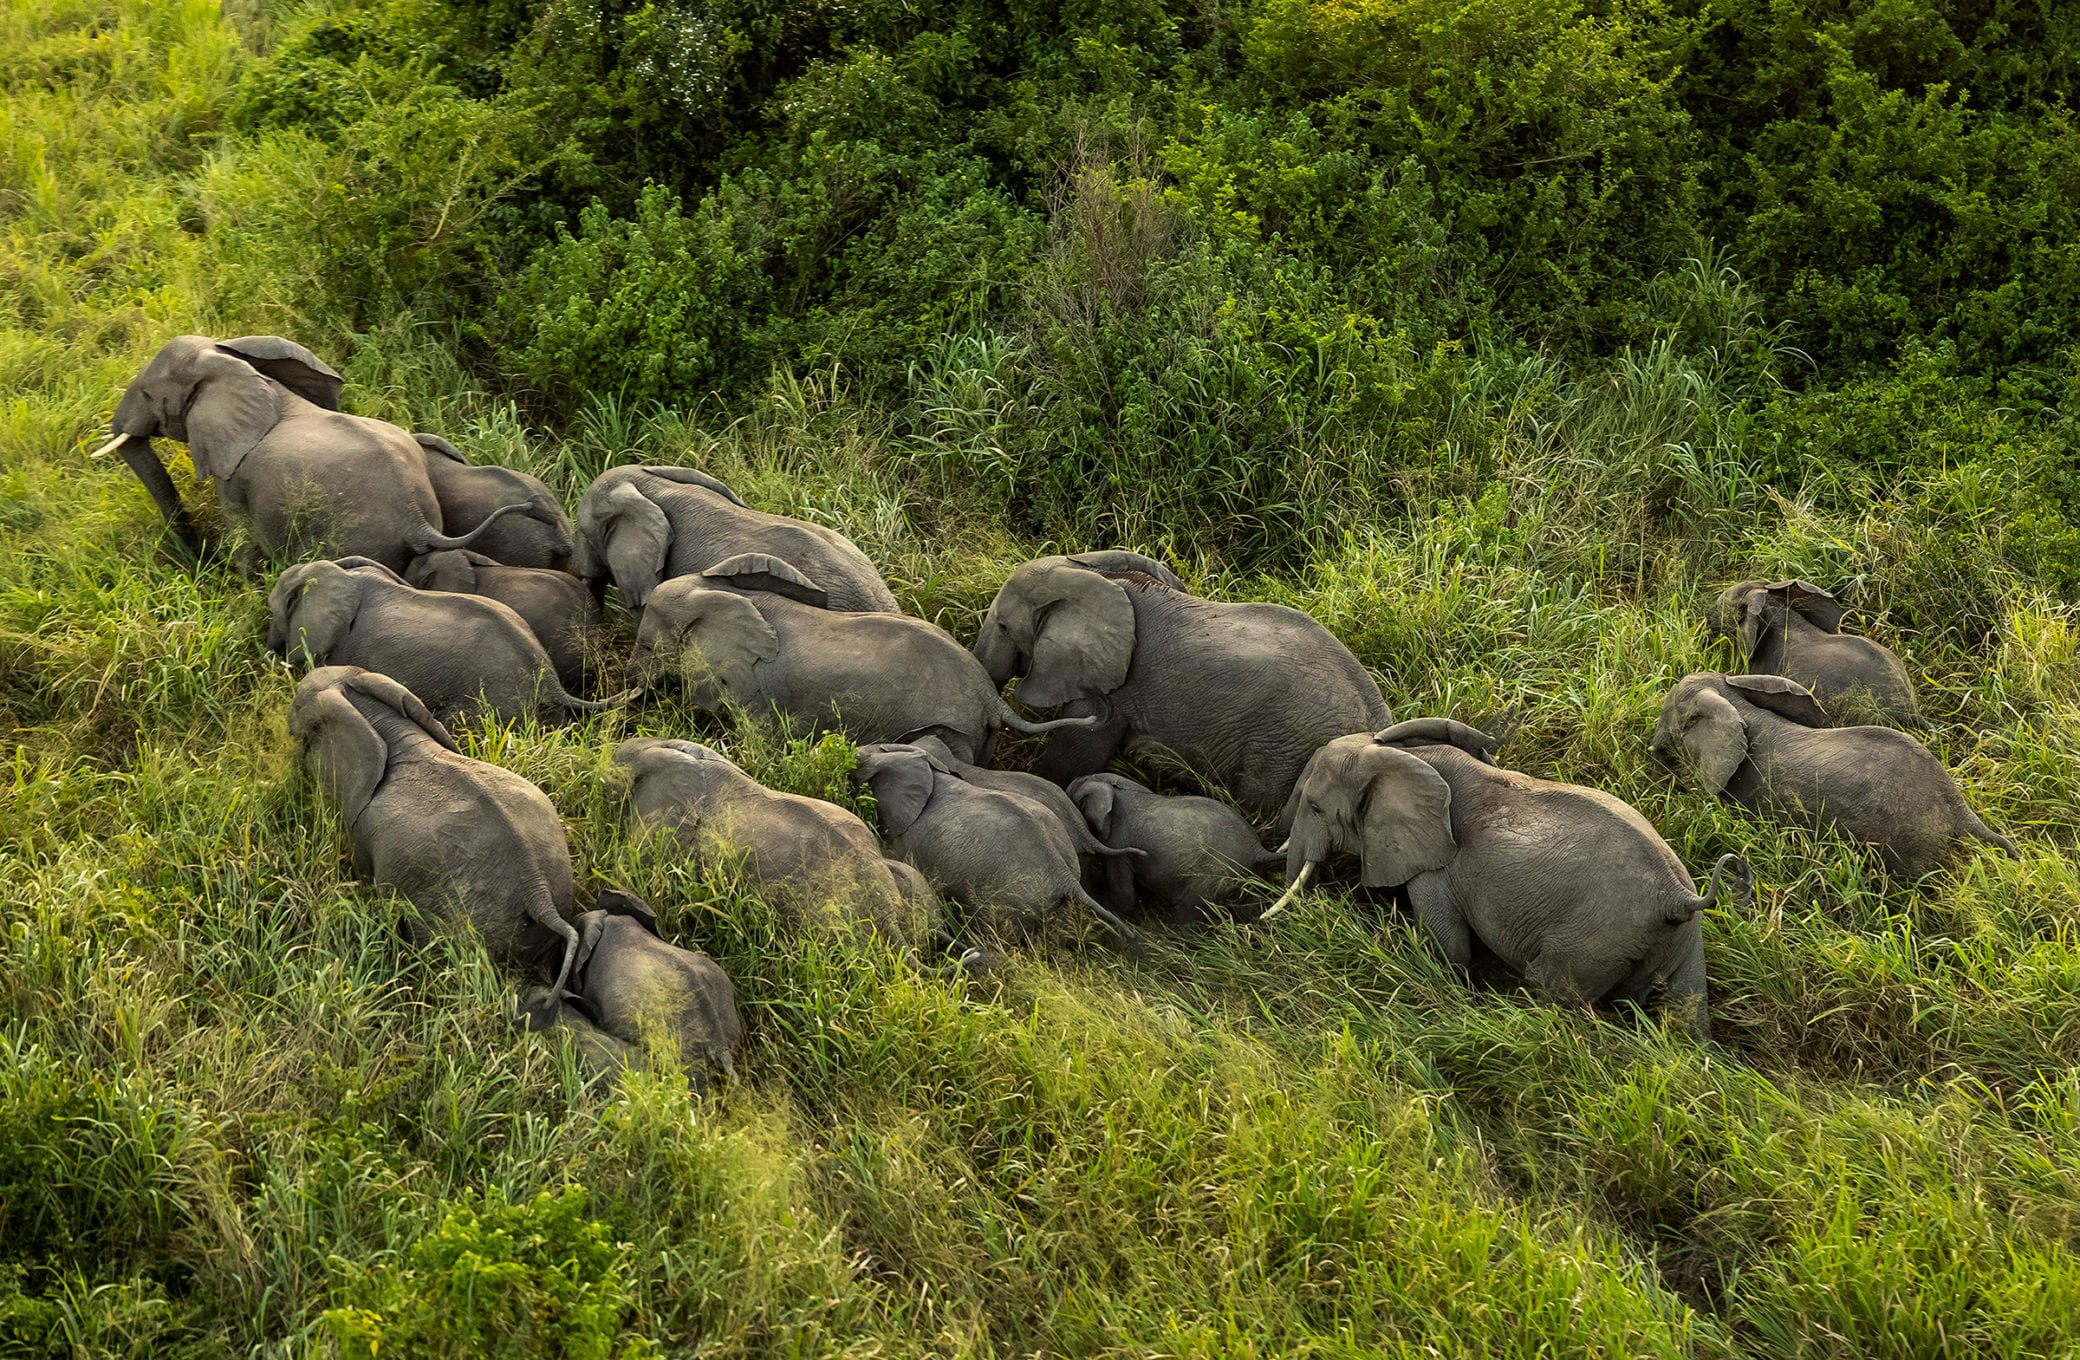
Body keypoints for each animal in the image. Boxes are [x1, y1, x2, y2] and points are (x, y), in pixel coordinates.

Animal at [94, 335, 526, 571]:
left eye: (149, 395)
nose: (202, 560)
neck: (230, 361)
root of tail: (418, 522)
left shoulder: (234, 475)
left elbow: (242, 538)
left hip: (356, 540)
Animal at [631, 555, 1098, 762]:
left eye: (647, 648)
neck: (724, 594)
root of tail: (989, 695)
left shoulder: (760, 693)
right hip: (980, 732)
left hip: (955, 726)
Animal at [972, 557, 1393, 820]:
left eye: (1004, 627)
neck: (1094, 578)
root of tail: (1378, 717)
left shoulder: (1106, 690)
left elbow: (1070, 761)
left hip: (1285, 747)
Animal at [1068, 772, 1283, 923]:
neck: (1120, 789)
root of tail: (1258, 850)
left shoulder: (1119, 842)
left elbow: (1125, 897)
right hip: (1249, 875)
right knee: (1247, 910)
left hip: (1213, 877)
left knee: (1189, 912)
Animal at [1270, 719, 1746, 1037]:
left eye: (1315, 807)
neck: (1409, 758)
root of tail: (1678, 896)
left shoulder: (1440, 868)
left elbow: (1449, 947)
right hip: (1684, 940)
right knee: (1690, 1016)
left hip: (1592, 943)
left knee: (1551, 992)